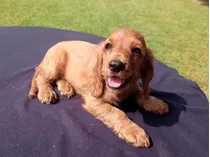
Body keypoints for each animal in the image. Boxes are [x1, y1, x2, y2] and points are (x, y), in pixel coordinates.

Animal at [28, 27, 169, 147]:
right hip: (55, 62)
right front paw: (134, 131)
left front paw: (156, 103)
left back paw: (66, 88)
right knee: (42, 78)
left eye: (137, 50)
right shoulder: (95, 101)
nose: (115, 65)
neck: (119, 90)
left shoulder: (132, 87)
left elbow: (140, 92)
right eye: (108, 46)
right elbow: (117, 112)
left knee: (58, 78)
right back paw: (46, 92)